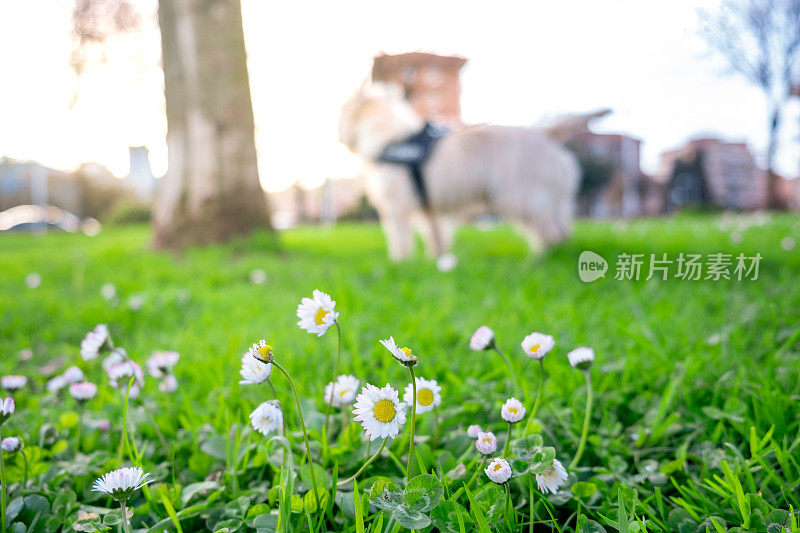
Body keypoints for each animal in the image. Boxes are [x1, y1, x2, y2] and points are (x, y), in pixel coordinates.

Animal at [338, 81, 608, 262]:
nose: (339, 136)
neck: (391, 138)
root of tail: (546, 133)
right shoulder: (430, 208)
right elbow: (435, 236)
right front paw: (435, 260)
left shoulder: (396, 205)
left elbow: (398, 237)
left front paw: (400, 262)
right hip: (554, 199)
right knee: (562, 229)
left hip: (521, 196)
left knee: (549, 231)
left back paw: (539, 259)